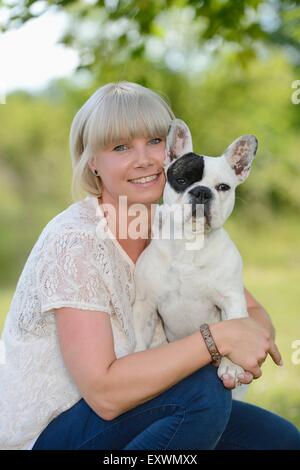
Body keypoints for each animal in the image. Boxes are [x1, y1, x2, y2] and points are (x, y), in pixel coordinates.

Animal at [133, 118, 258, 390]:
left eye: (223, 187)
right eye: (181, 180)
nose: (201, 191)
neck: (190, 243)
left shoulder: (232, 298)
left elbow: (236, 326)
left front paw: (232, 366)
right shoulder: (145, 306)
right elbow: (138, 339)